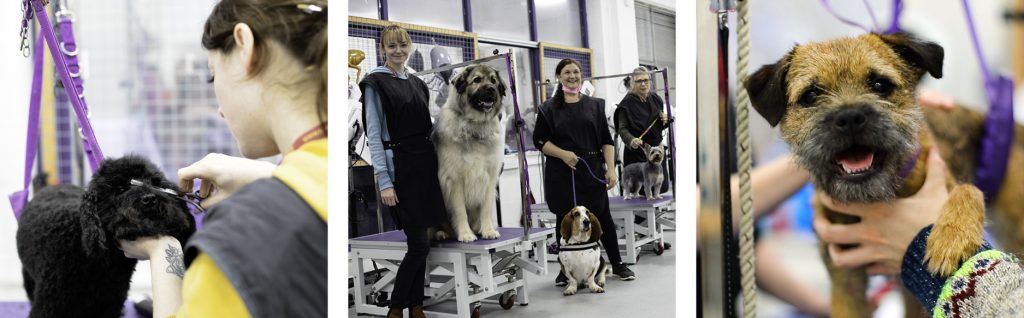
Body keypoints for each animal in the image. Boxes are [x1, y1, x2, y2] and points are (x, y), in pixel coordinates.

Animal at [16, 155, 195, 316]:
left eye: (156, 183)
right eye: (121, 188)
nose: (150, 199)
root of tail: (46, 188)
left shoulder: (110, 302)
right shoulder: (50, 304)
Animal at [434, 63, 509, 243]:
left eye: (493, 81)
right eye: (477, 80)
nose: (491, 89)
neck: (475, 124)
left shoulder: (490, 177)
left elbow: (486, 208)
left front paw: (488, 230)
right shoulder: (454, 179)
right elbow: (460, 210)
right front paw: (465, 234)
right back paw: (442, 233)